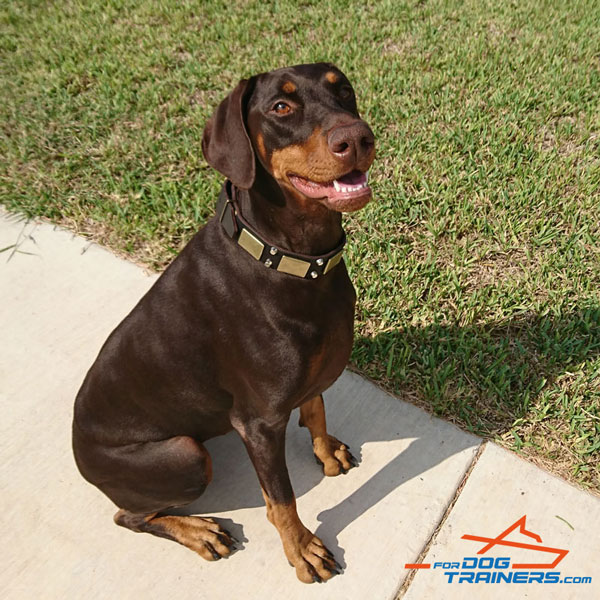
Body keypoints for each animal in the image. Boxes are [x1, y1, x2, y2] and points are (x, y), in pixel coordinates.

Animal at [72, 61, 376, 580]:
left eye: (344, 91)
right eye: (281, 106)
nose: (356, 138)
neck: (290, 260)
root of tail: (76, 452)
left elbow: (315, 407)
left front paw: (326, 451)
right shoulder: (258, 422)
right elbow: (281, 499)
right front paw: (302, 549)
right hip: (185, 455)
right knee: (128, 515)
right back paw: (199, 531)